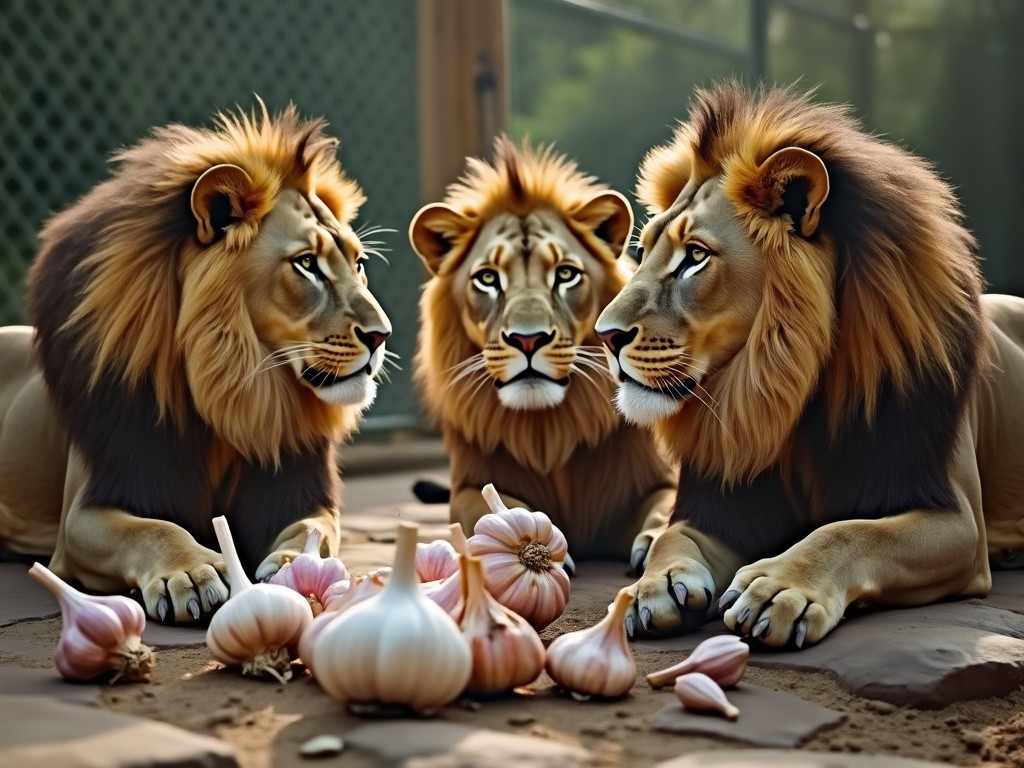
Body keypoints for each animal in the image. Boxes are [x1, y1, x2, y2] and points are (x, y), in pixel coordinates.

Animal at [0, 103, 391, 626]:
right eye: (307, 263)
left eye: (359, 262)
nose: (381, 335)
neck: (235, 391)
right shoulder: (86, 511)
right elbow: (152, 528)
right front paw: (191, 571)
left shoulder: (295, 486)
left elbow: (317, 528)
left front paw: (294, 563)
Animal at [407, 137, 679, 565]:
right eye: (487, 278)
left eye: (566, 274)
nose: (528, 339)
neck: (547, 432)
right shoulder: (468, 487)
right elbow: (487, 505)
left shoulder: (657, 481)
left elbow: (667, 508)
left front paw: (654, 545)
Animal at [598, 82, 1024, 651]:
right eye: (642, 252)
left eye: (695, 256)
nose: (605, 335)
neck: (786, 395)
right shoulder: (727, 502)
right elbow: (676, 532)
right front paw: (655, 584)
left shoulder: (954, 519)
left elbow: (851, 531)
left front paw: (778, 589)